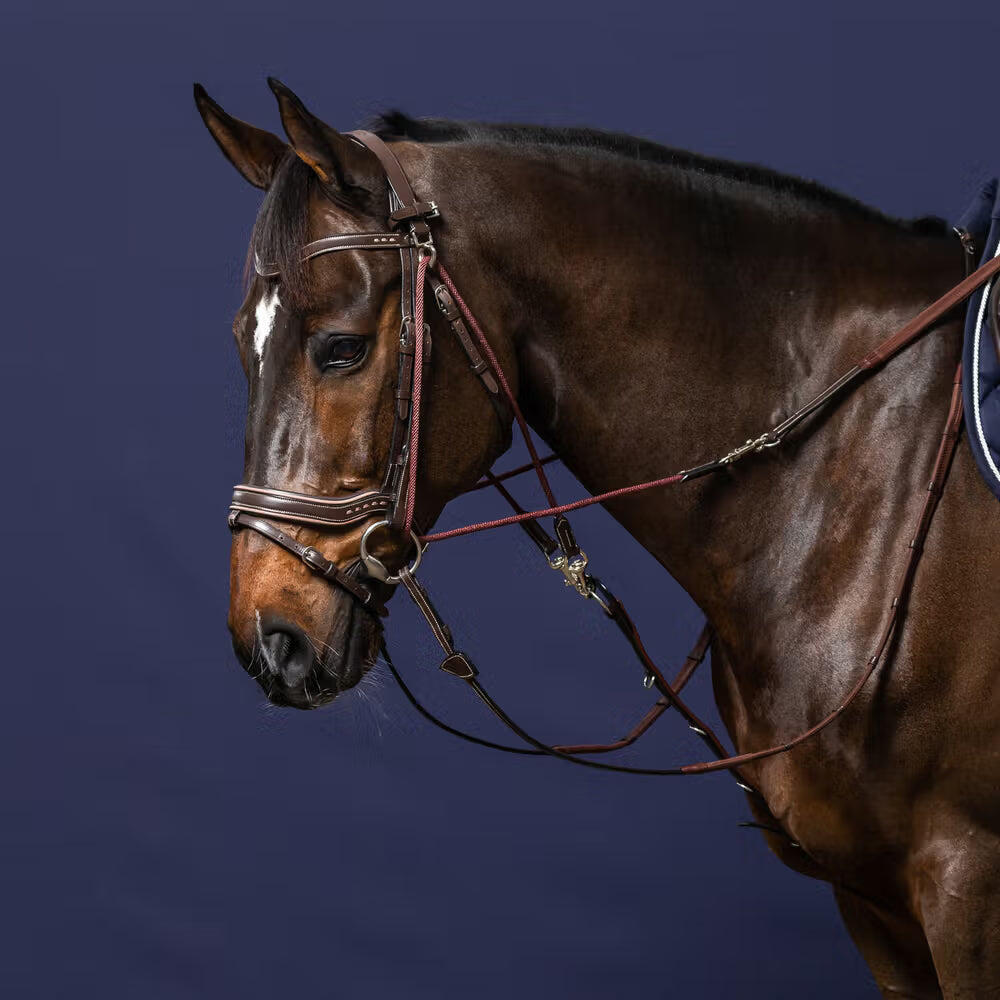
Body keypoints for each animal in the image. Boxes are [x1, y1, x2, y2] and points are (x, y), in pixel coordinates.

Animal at [195, 79, 1000, 998]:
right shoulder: (872, 905)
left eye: (341, 349)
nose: (271, 637)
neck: (862, 471)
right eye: (242, 345)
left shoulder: (966, 879)